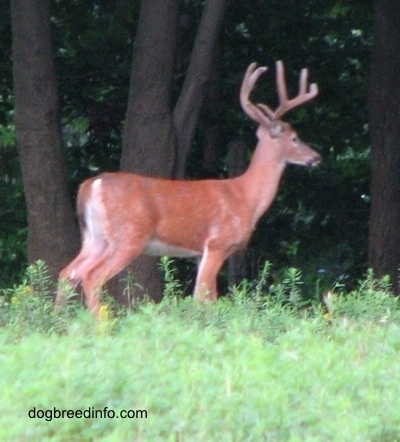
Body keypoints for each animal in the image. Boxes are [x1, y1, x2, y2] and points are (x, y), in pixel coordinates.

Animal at [56, 60, 320, 316]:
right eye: (295, 137)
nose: (316, 157)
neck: (246, 198)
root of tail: (91, 185)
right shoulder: (218, 243)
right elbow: (207, 298)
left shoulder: (201, 252)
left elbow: (198, 297)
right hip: (128, 236)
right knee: (91, 276)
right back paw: (100, 323)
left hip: (94, 237)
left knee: (67, 272)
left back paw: (60, 320)